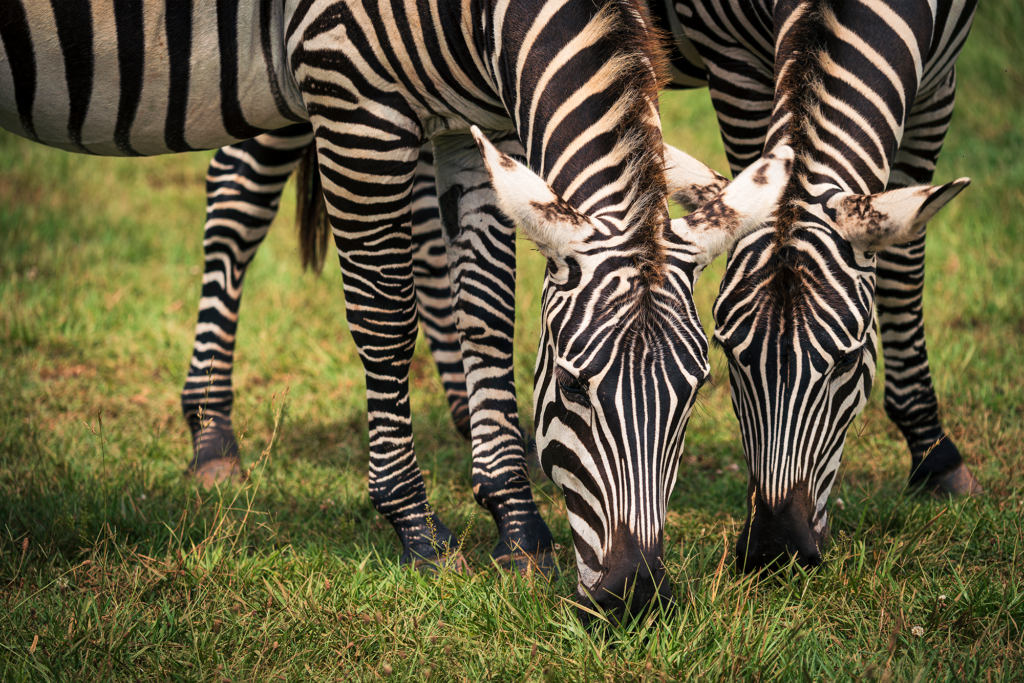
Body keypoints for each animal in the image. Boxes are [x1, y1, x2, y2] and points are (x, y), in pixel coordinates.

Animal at [0, 0, 796, 621]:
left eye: (696, 389)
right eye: (571, 386)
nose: (635, 595)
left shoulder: (478, 127)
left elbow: (487, 314)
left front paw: (516, 524)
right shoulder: (351, 99)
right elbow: (383, 319)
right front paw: (415, 526)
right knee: (238, 188)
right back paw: (213, 438)